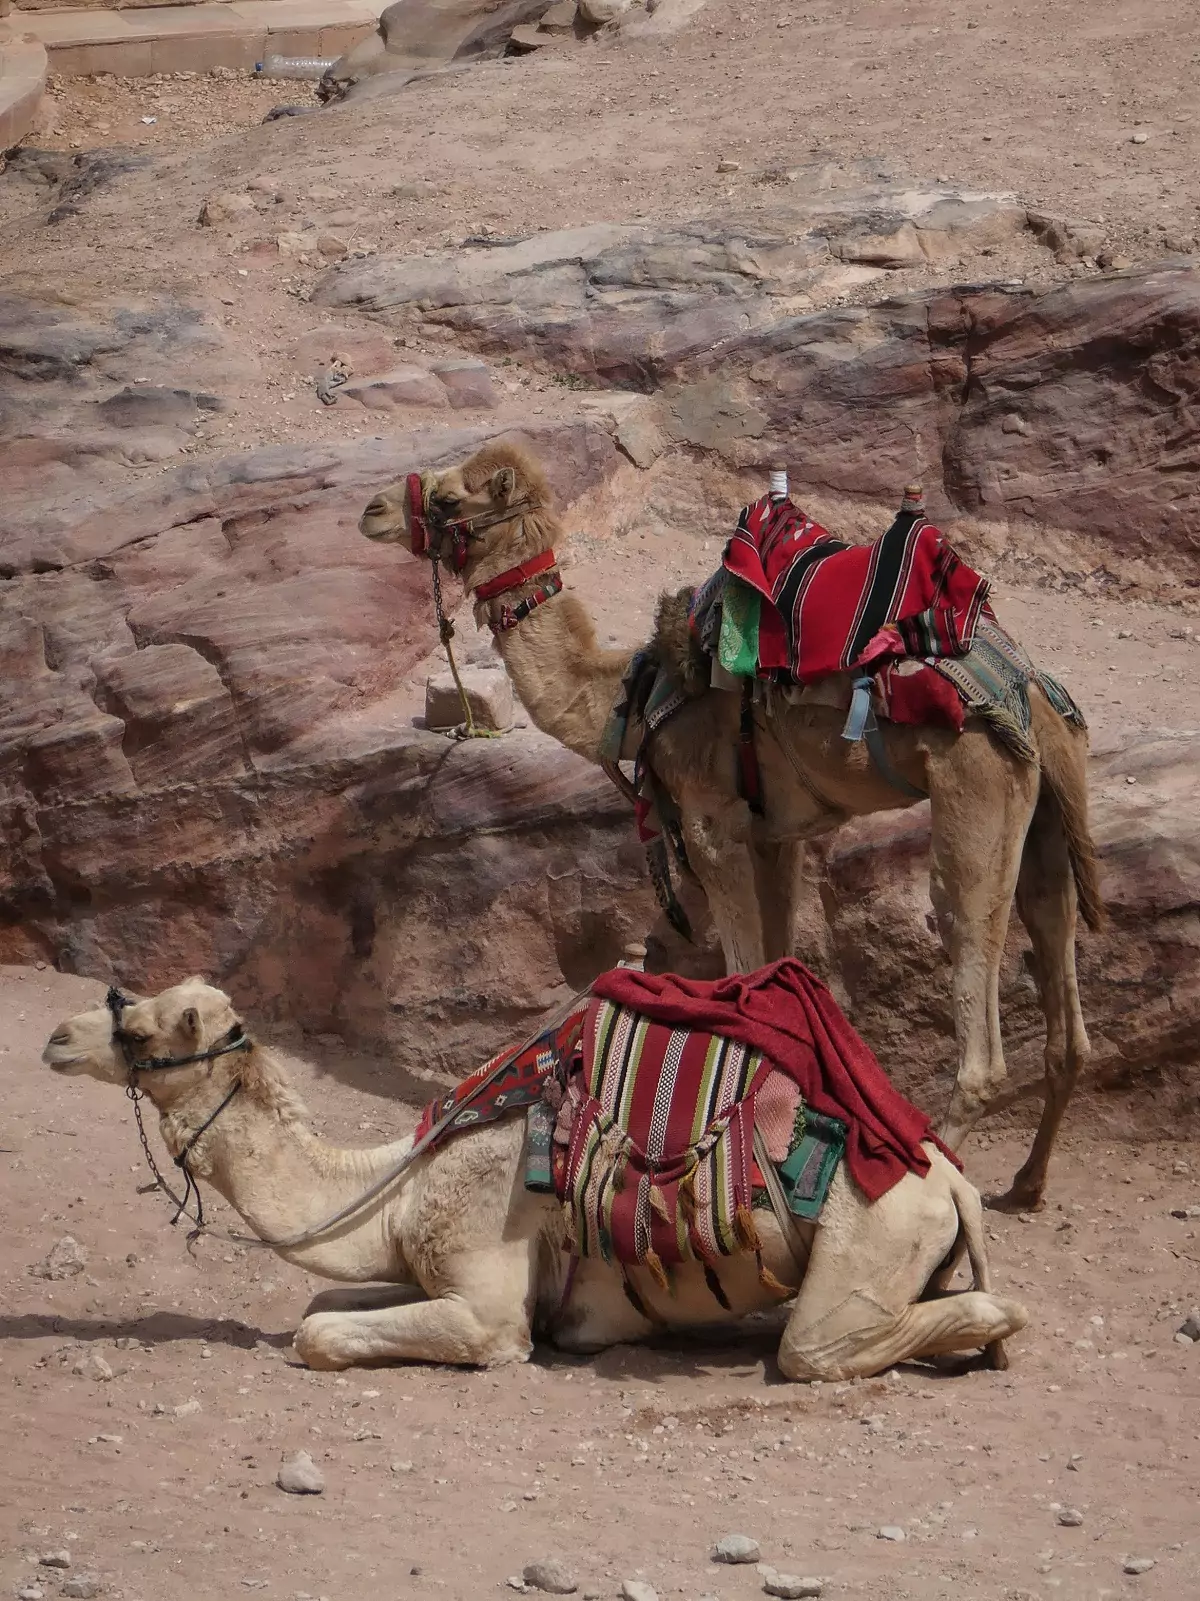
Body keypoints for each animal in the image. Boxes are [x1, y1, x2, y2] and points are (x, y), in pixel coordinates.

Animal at [42, 977, 1027, 1377]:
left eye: (143, 1028)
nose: (55, 1036)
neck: (400, 1187)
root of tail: (952, 1181)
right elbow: (322, 1304)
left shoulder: (486, 1302)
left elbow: (318, 1334)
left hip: (874, 1230)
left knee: (822, 1344)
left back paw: (990, 1329)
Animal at [359, 442, 1105, 1211]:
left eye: (451, 498)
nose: (373, 509)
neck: (627, 699)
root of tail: (1031, 695)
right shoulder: (776, 834)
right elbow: (779, 971)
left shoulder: (711, 820)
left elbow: (742, 976)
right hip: (1044, 814)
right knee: (1060, 977)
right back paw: (1026, 1181)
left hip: (975, 785)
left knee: (972, 984)